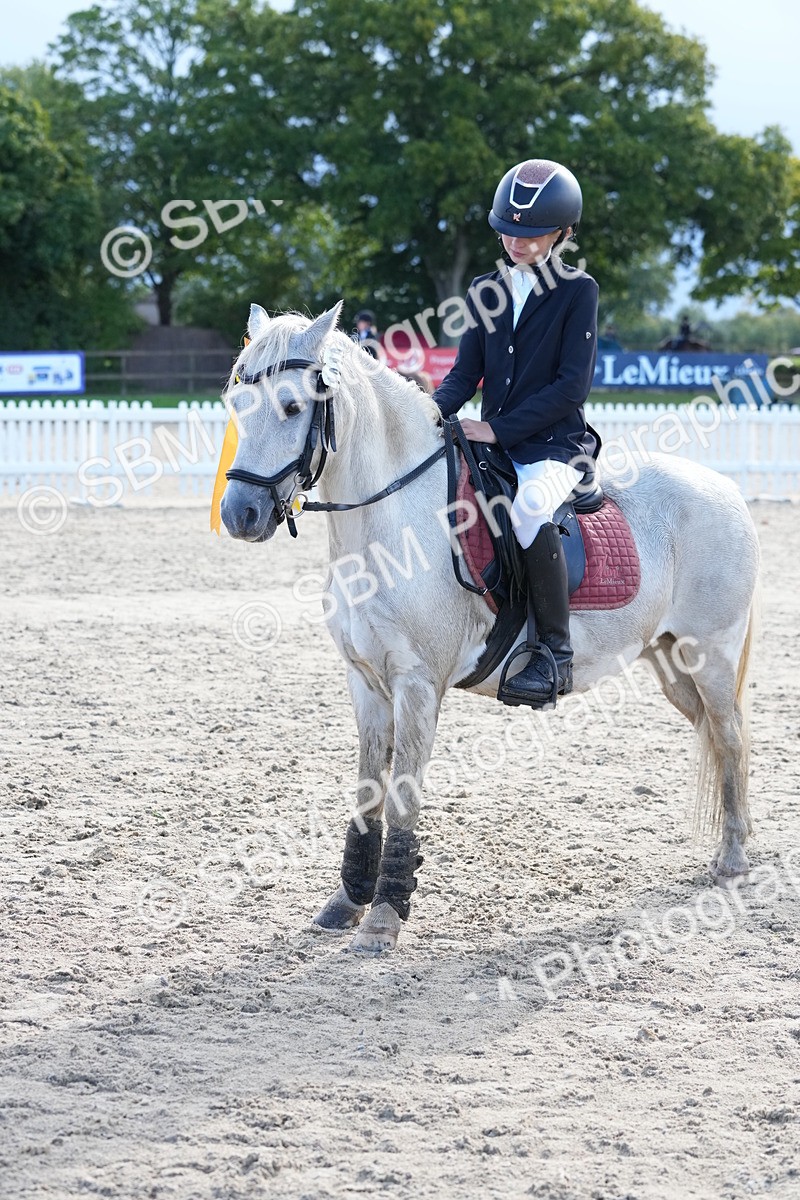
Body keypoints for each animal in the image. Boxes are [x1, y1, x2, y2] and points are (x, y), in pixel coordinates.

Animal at [219, 301, 760, 954]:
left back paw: (733, 860)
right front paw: (347, 902)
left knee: (730, 737)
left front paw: (382, 920)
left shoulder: (418, 686)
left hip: (713, 654)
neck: (391, 519)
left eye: (293, 407)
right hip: (670, 660)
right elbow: (367, 791)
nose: (240, 515)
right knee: (714, 735)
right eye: (236, 402)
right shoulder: (365, 683)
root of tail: (724, 486)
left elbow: (400, 799)